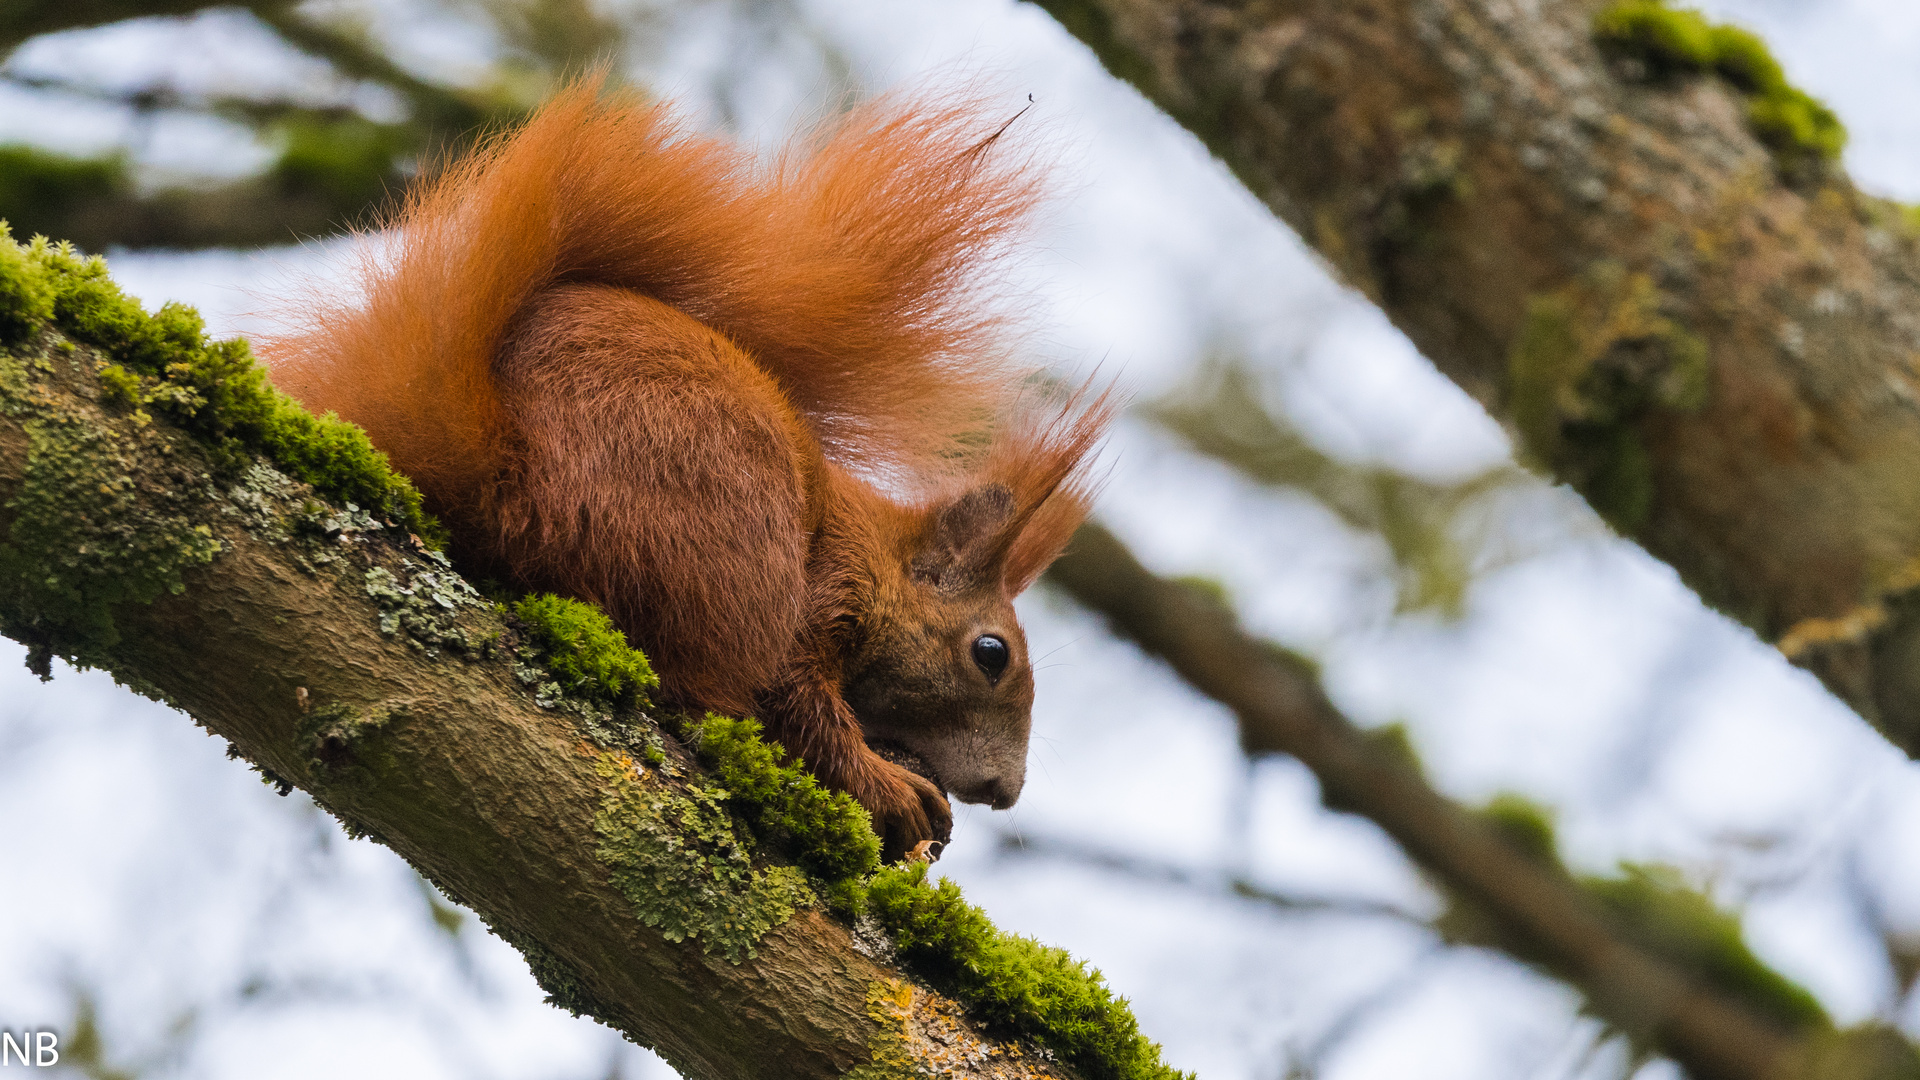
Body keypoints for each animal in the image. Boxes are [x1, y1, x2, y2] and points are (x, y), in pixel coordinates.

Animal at [270, 79, 1113, 857]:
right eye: (991, 654)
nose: (1006, 791)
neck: (875, 548)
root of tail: (507, 487)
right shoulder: (829, 584)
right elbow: (794, 699)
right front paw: (888, 788)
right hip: (731, 529)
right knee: (717, 693)